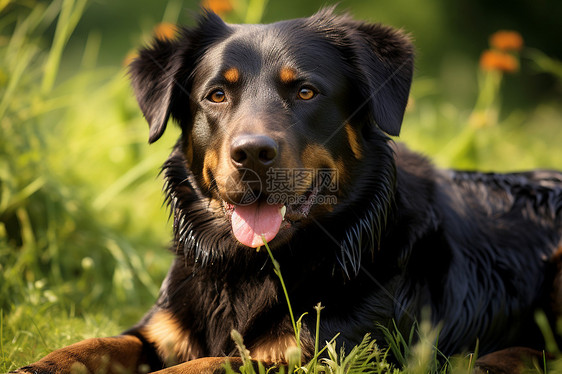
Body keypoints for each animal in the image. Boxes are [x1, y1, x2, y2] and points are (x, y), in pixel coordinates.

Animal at [14, 6, 560, 374]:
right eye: (216, 94)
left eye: (305, 91)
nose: (252, 154)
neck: (247, 268)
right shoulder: (159, 330)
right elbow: (98, 343)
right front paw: (42, 363)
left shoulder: (322, 353)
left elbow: (207, 364)